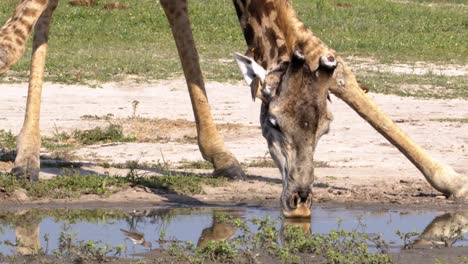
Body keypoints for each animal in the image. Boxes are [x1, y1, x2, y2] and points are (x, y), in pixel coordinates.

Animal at [0, 0, 466, 219]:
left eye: (326, 128)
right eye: (274, 123)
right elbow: (10, 43)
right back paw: (26, 156)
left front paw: (449, 179)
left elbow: (324, 53)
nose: (299, 201)